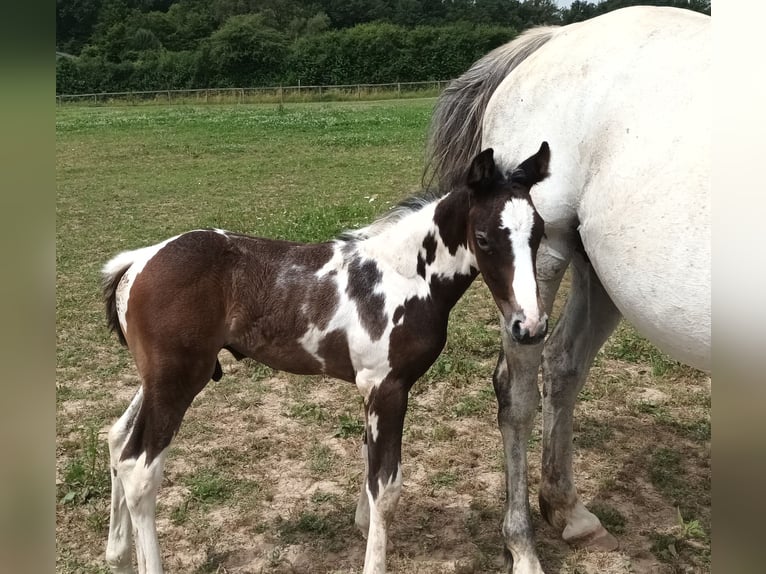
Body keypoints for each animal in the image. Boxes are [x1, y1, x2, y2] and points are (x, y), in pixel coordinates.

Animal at [103, 144, 552, 574]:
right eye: (484, 238)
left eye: (540, 234)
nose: (529, 325)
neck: (404, 276)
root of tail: (140, 261)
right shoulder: (387, 388)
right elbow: (386, 488)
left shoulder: (372, 390)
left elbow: (369, 468)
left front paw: (362, 525)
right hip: (177, 381)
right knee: (139, 469)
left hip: (156, 380)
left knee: (117, 441)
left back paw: (118, 557)